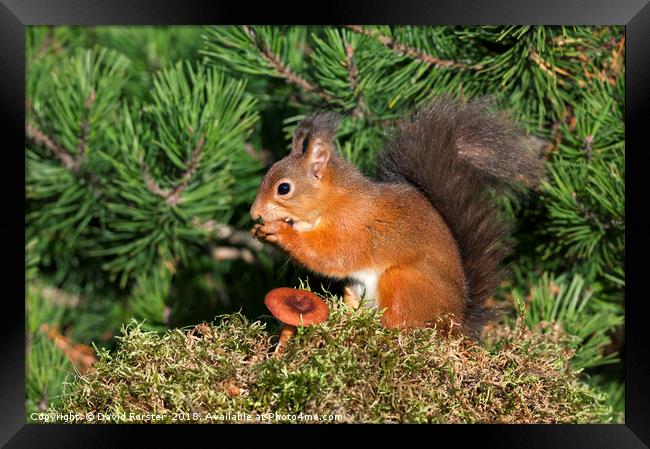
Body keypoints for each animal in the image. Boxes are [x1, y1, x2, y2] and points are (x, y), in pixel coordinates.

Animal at [248, 97, 540, 336]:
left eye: (283, 188)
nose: (254, 213)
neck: (334, 202)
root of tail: (457, 322)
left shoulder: (352, 225)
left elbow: (331, 256)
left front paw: (279, 233)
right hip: (360, 288)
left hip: (404, 282)